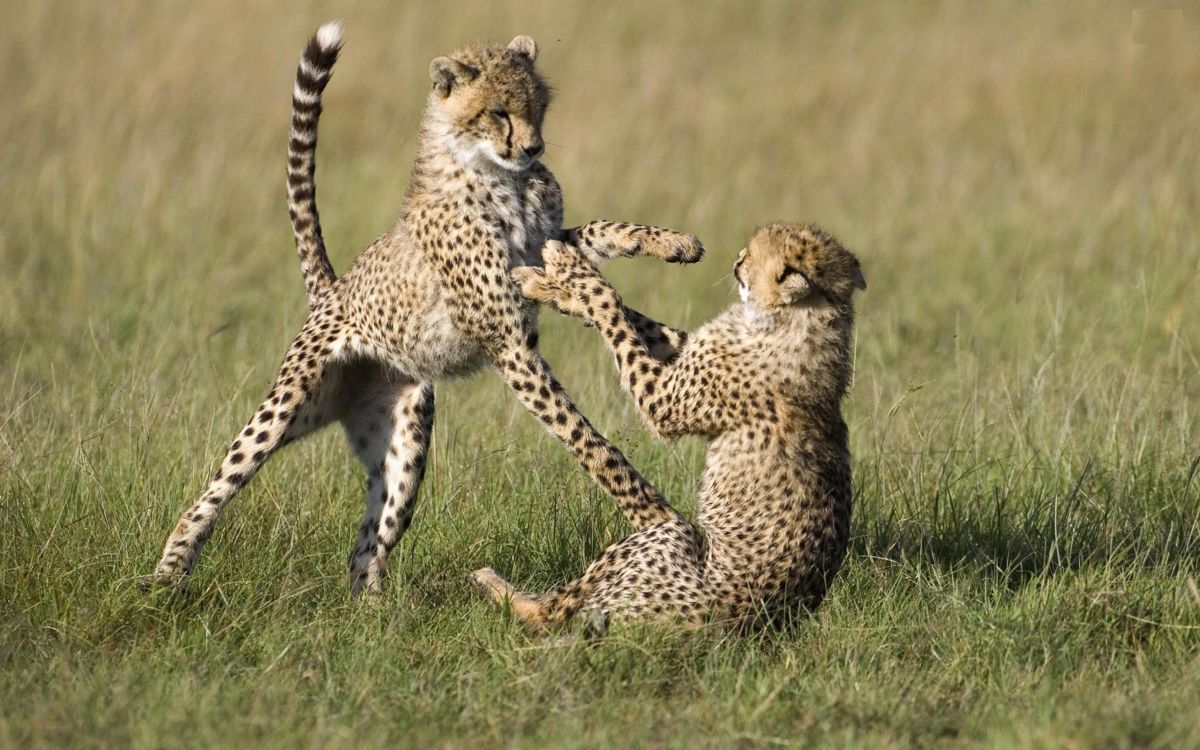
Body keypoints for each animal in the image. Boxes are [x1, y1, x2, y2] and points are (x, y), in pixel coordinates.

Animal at [142, 21, 700, 597]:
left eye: (537, 106)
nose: (534, 146)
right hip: (289, 405)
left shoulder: (540, 251)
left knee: (367, 548)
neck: (499, 174)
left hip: (404, 444)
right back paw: (167, 575)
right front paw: (654, 515)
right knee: (220, 484)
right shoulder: (506, 338)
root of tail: (334, 291)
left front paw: (669, 246)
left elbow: (596, 243)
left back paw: (374, 615)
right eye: (498, 111)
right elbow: (587, 438)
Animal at [472, 223, 868, 633]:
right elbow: (641, 320)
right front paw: (553, 286)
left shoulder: (662, 400)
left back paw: (492, 583)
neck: (800, 321)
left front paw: (569, 270)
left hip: (665, 539)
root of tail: (753, 622)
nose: (738, 259)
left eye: (755, 255)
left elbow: (609, 304)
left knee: (551, 613)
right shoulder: (687, 351)